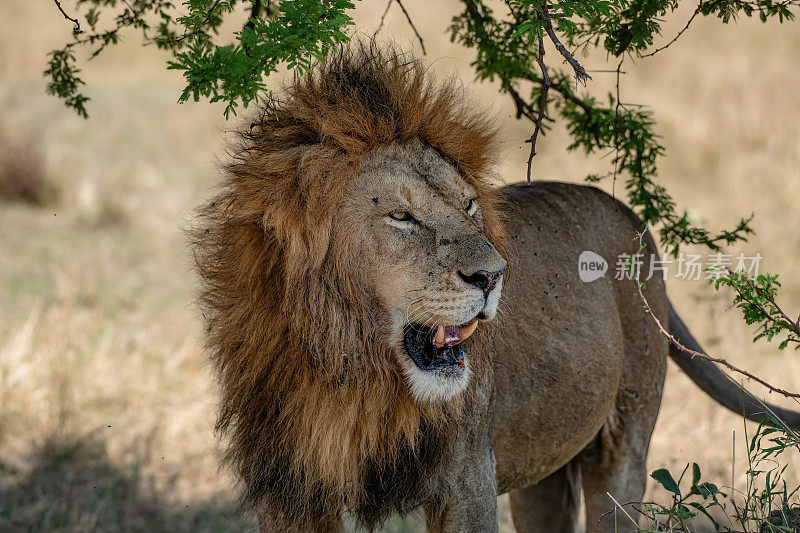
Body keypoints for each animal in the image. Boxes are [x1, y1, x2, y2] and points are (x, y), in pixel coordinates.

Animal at [195, 45, 800, 532]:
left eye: (468, 205)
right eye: (401, 216)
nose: (492, 275)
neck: (349, 368)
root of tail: (632, 218)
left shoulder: (466, 477)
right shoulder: (291, 489)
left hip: (622, 441)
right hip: (543, 469)